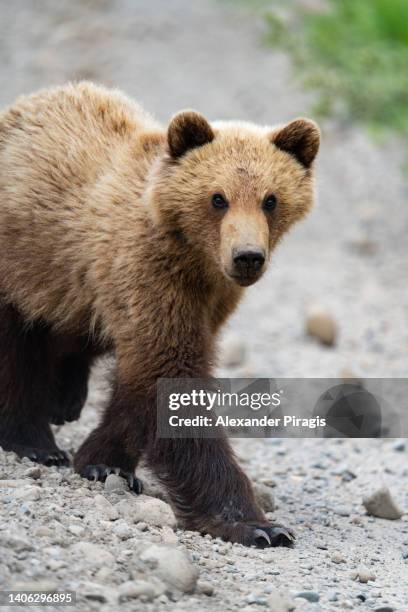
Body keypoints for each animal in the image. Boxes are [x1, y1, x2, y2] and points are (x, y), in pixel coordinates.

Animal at [0, 81, 318, 544]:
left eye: (271, 199)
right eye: (218, 198)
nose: (247, 257)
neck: (196, 257)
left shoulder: (208, 300)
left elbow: (146, 382)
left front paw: (104, 459)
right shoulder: (151, 273)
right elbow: (170, 374)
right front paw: (257, 524)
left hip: (70, 284)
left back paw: (65, 399)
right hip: (25, 261)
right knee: (16, 349)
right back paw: (35, 442)